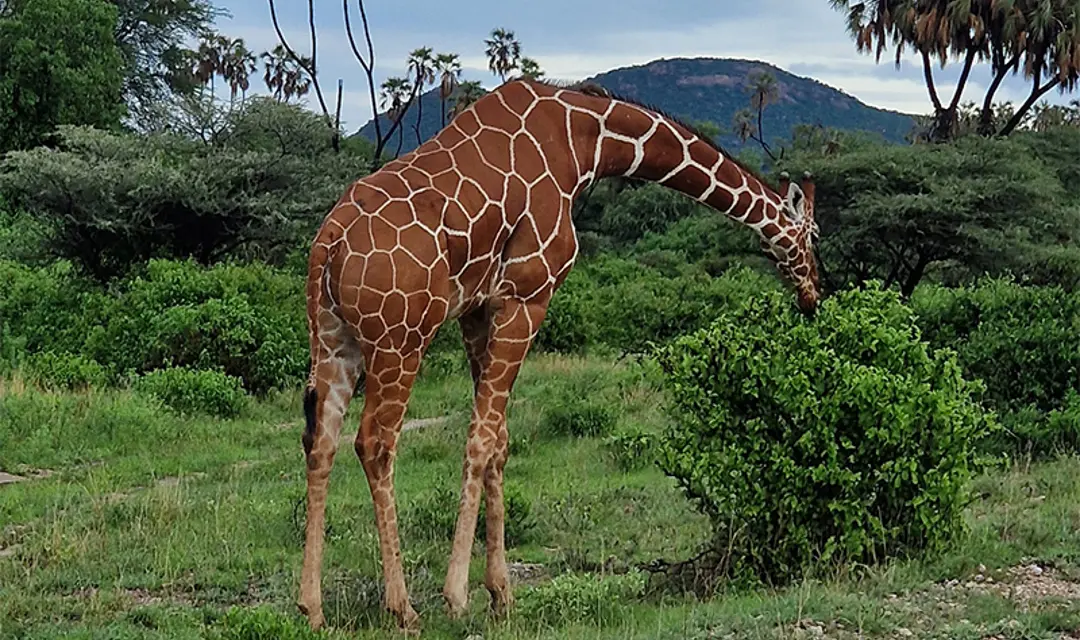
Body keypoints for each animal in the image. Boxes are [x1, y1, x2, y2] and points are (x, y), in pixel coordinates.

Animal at [298, 77, 820, 633]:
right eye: (811, 236)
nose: (813, 295)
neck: (585, 140)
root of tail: (327, 244)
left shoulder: (478, 309)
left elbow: (499, 441)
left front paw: (501, 594)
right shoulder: (528, 295)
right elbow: (480, 439)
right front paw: (458, 596)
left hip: (334, 340)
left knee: (320, 441)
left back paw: (312, 607)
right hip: (400, 337)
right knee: (375, 443)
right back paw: (403, 608)